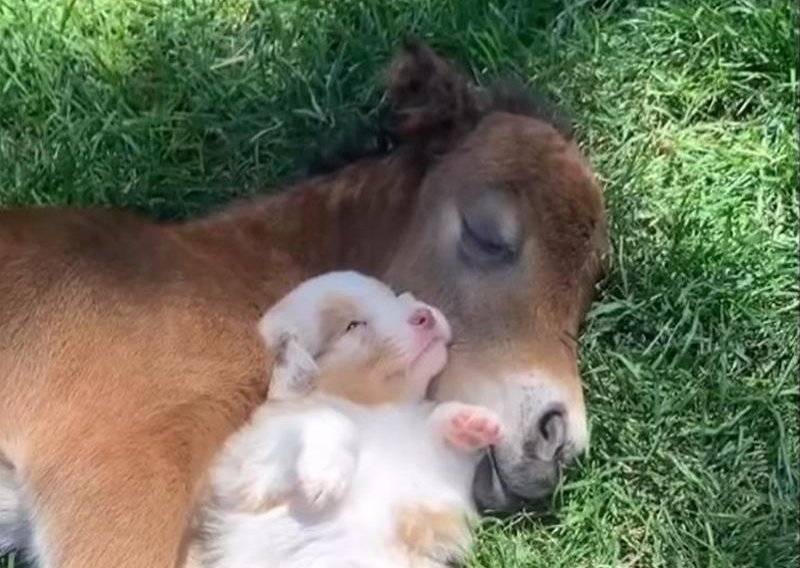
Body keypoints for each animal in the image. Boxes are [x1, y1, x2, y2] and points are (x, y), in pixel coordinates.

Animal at [195, 272, 504, 568]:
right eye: (353, 326)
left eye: (393, 296)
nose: (424, 314)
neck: (380, 410)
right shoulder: (250, 466)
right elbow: (331, 419)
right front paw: (325, 475)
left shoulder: (435, 487)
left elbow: (436, 427)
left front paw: (471, 422)